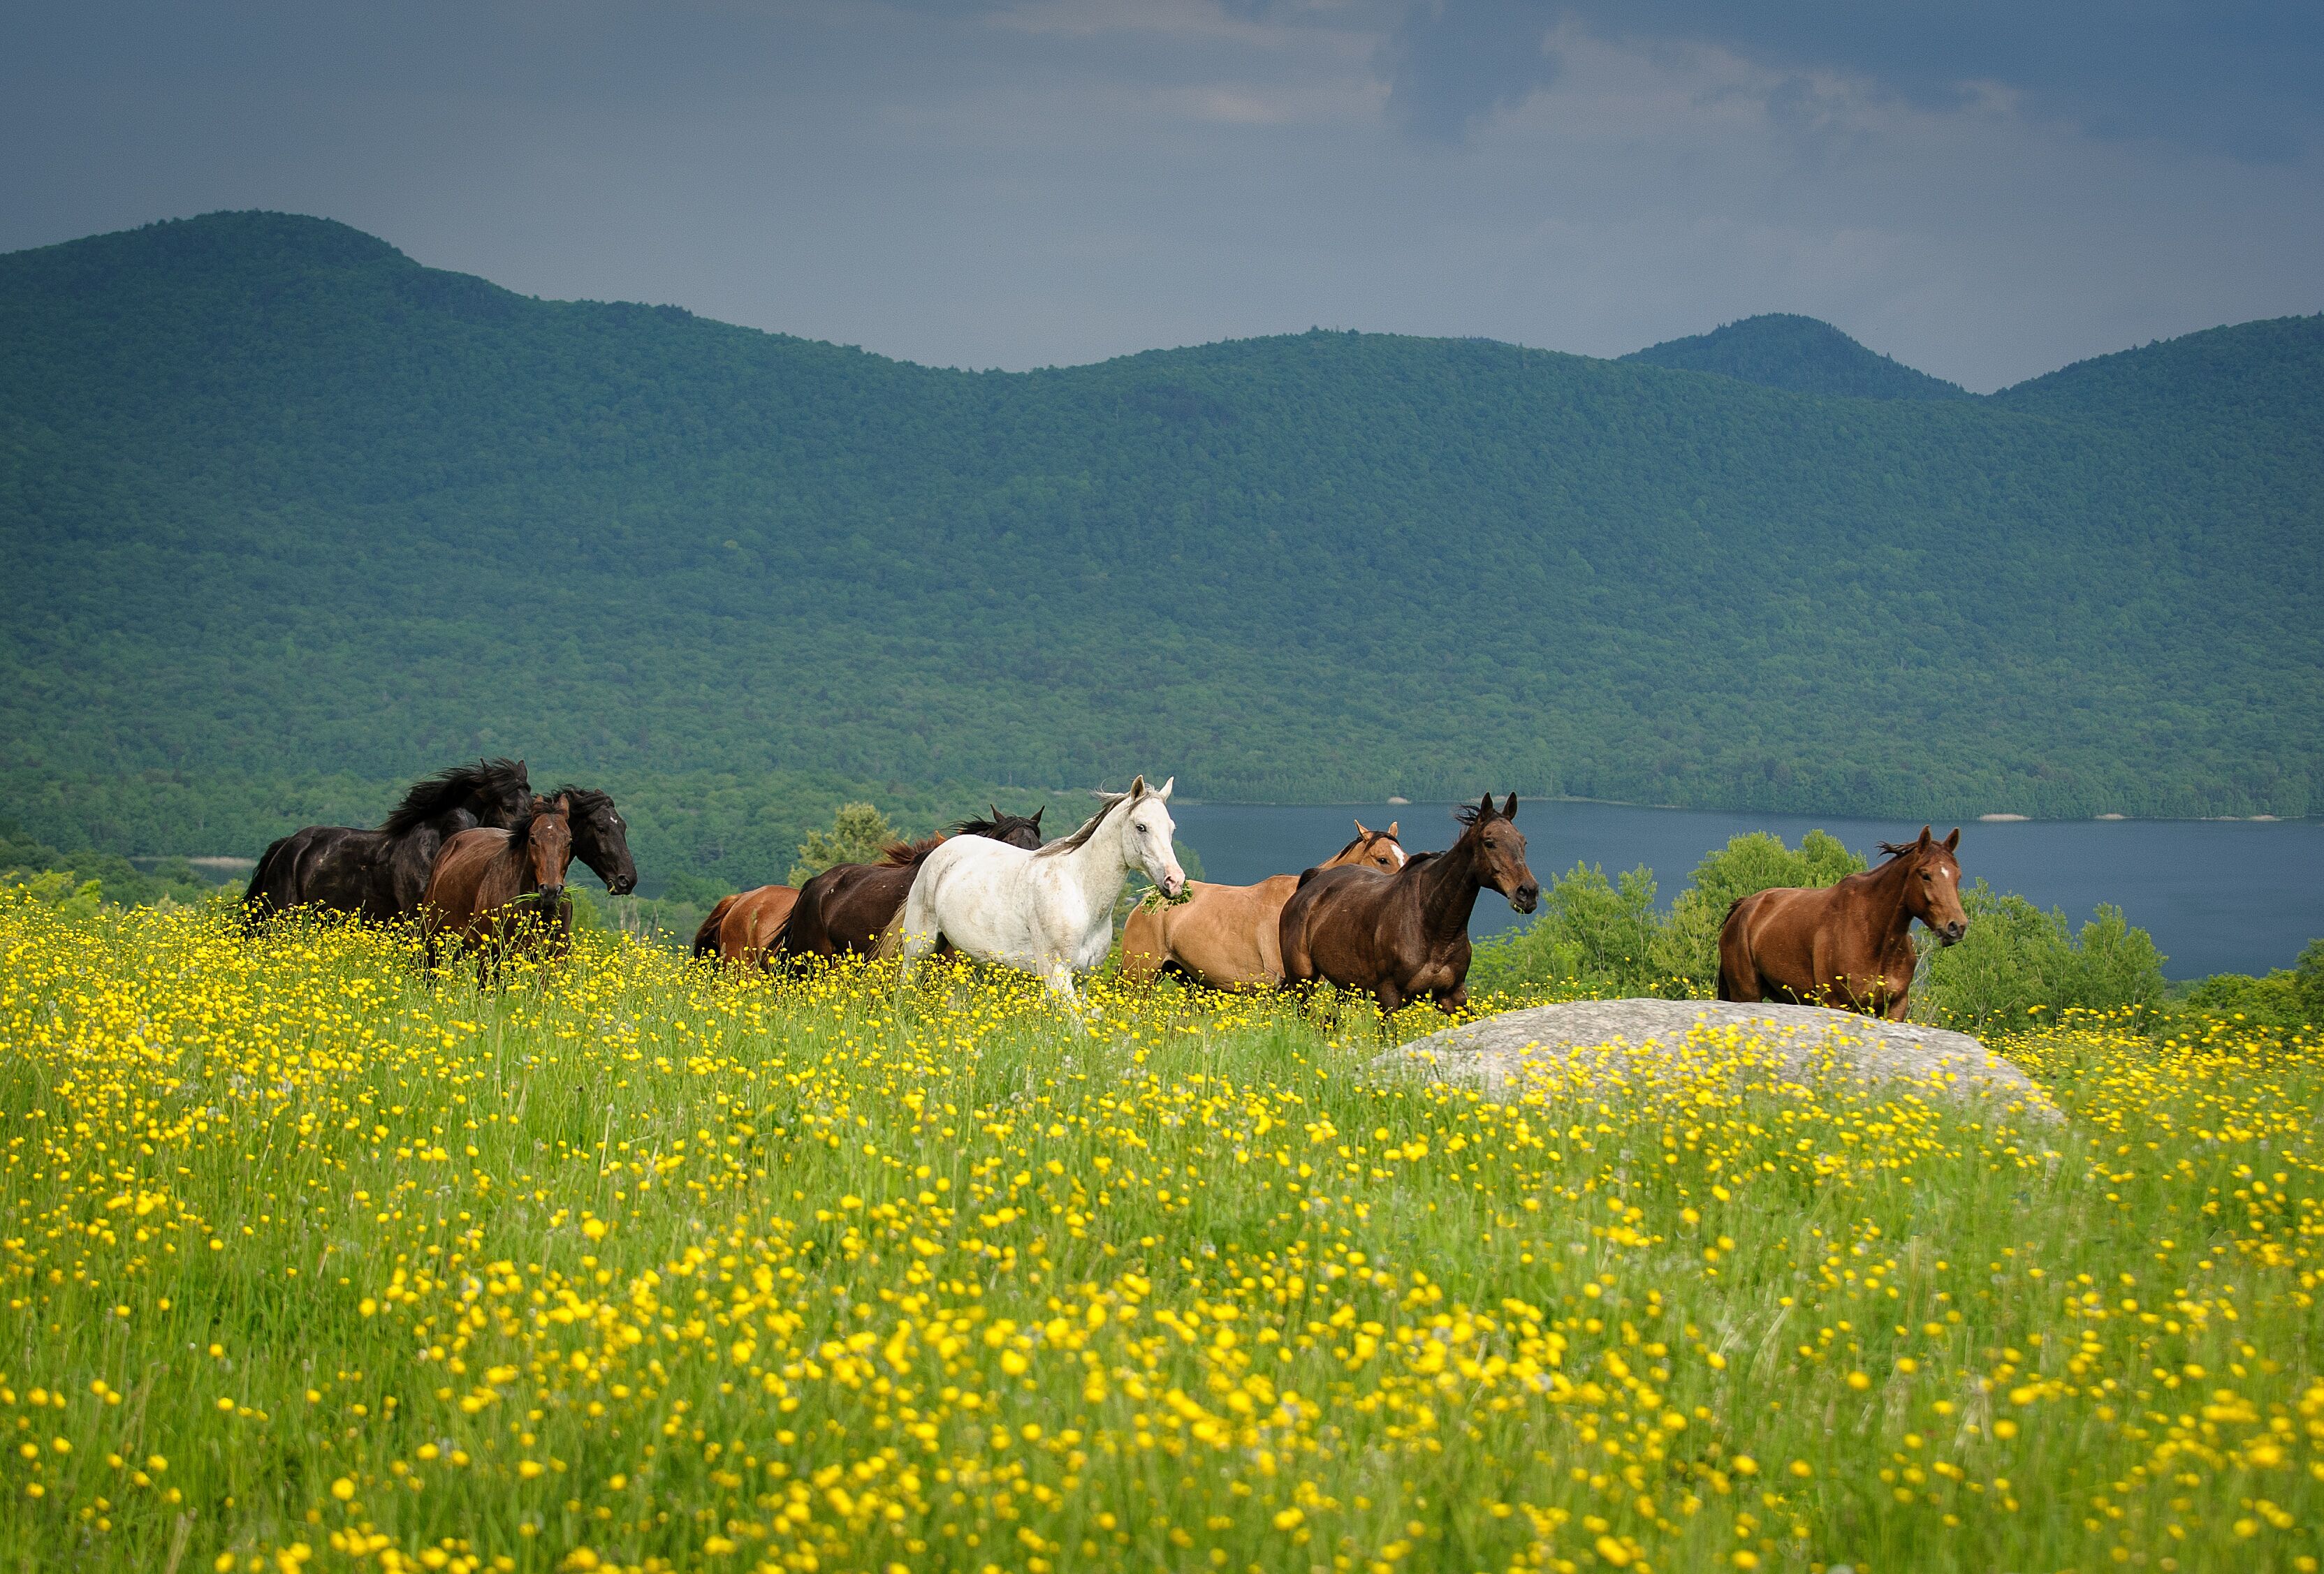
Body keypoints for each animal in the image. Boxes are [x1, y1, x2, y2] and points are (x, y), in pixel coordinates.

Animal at [419, 796, 574, 982]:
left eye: (569, 841)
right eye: (533, 839)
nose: (550, 891)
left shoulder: (554, 956)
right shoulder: (491, 954)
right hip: (433, 944)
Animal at [894, 778, 1181, 1003]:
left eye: (1171, 828)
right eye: (1141, 827)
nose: (1175, 881)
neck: (1080, 894)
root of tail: (939, 853)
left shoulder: (1083, 979)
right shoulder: (1057, 974)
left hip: (973, 960)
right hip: (919, 949)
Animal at [1279, 794, 1539, 1016]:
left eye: (1523, 842)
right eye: (1489, 842)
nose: (1528, 893)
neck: (1433, 924)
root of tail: (1310, 885)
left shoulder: (1452, 996)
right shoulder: (1389, 998)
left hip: (1347, 988)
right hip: (1303, 981)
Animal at [1716, 825, 1967, 1020]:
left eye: (1958, 876)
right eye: (1925, 875)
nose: (1956, 927)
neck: (1872, 935)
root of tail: (1746, 906)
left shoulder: (1896, 1006)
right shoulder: (1839, 1003)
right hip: (1747, 994)